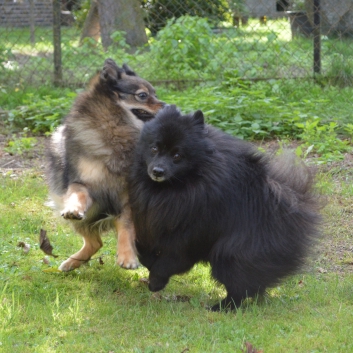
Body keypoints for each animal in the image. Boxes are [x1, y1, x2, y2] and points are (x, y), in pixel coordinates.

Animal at [45, 59, 165, 270]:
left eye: (155, 94)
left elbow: (126, 224)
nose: (168, 106)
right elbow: (78, 194)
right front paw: (74, 208)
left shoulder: (128, 196)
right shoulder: (81, 181)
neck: (115, 129)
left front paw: (127, 256)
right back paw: (71, 263)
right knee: (95, 242)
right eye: (143, 95)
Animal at [128, 105, 320, 310]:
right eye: (154, 148)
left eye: (177, 155)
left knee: (239, 287)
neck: (179, 186)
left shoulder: (191, 234)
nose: (158, 171)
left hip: (231, 252)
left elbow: (170, 260)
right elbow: (143, 250)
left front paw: (156, 281)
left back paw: (220, 308)